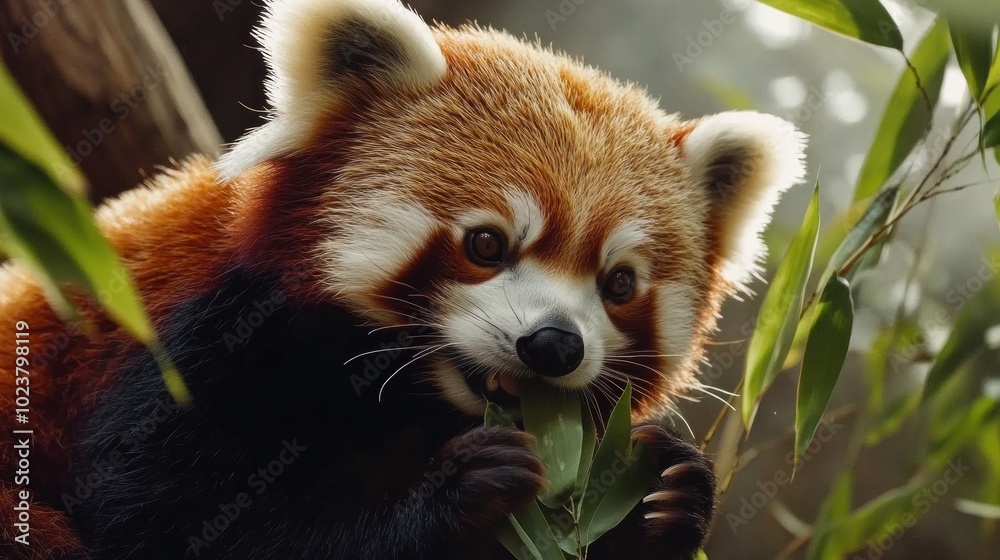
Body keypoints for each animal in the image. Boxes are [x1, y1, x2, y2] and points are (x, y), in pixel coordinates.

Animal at [0, 0, 806, 558]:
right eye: (486, 243)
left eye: (618, 284)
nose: (553, 346)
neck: (408, 406)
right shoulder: (197, 346)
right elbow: (162, 520)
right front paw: (449, 498)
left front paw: (661, 497)